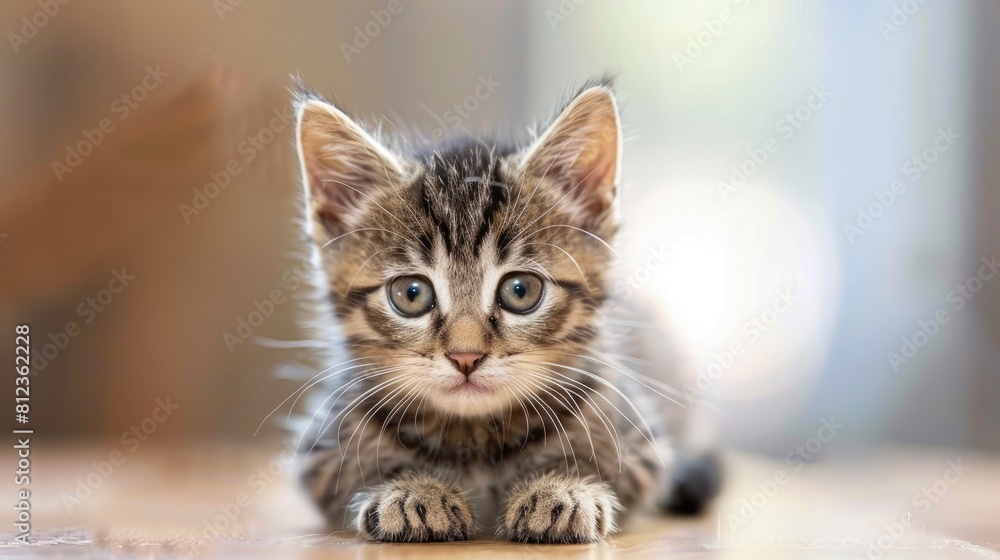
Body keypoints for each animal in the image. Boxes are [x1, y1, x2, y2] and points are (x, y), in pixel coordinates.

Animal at [290, 79, 720, 544]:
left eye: (520, 291)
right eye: (410, 294)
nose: (465, 357)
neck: (475, 436)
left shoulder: (643, 445)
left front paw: (563, 489)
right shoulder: (320, 450)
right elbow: (354, 472)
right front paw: (412, 491)